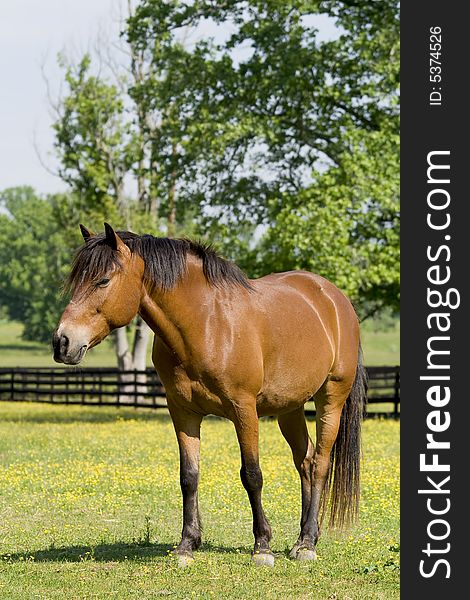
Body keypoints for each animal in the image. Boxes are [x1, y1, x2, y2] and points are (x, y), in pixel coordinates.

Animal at [51, 224, 368, 568]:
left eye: (103, 280)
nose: (62, 342)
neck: (207, 325)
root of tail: (334, 299)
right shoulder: (183, 412)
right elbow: (189, 476)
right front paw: (187, 545)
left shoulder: (244, 410)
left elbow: (252, 475)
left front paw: (262, 547)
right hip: (289, 408)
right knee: (306, 461)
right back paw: (303, 539)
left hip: (331, 399)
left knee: (321, 462)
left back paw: (308, 543)